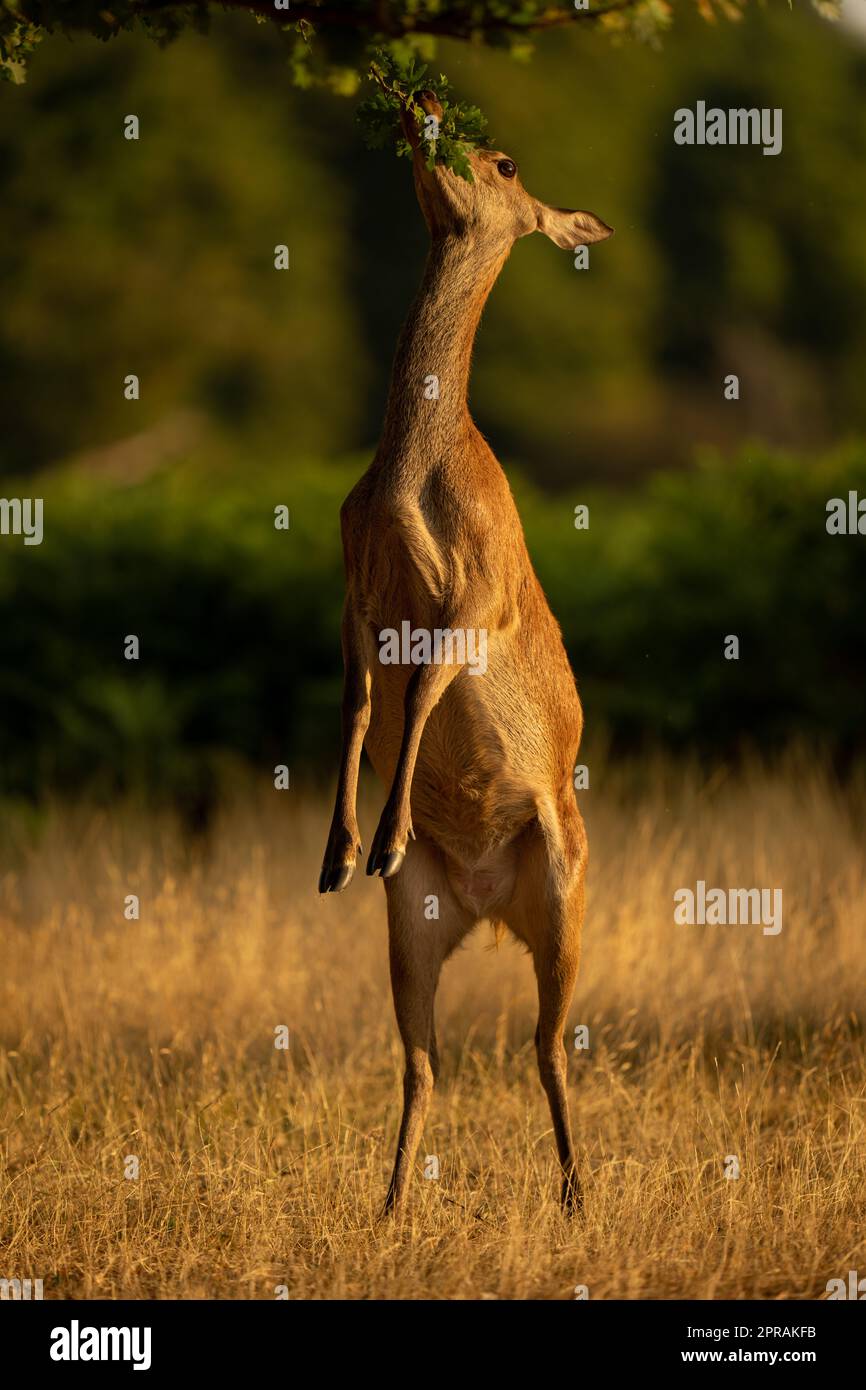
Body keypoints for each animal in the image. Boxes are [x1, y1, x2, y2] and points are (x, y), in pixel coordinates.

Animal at [319, 91, 613, 1215]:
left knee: (548, 1044)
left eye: (505, 161)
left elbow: (421, 692)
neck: (410, 475)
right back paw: (392, 1202)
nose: (420, 101)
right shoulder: (355, 588)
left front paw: (384, 835)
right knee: (425, 1056)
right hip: (414, 924)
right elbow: (361, 704)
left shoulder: (475, 594)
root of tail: (490, 909)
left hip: (568, 890)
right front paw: (339, 850)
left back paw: (577, 1200)